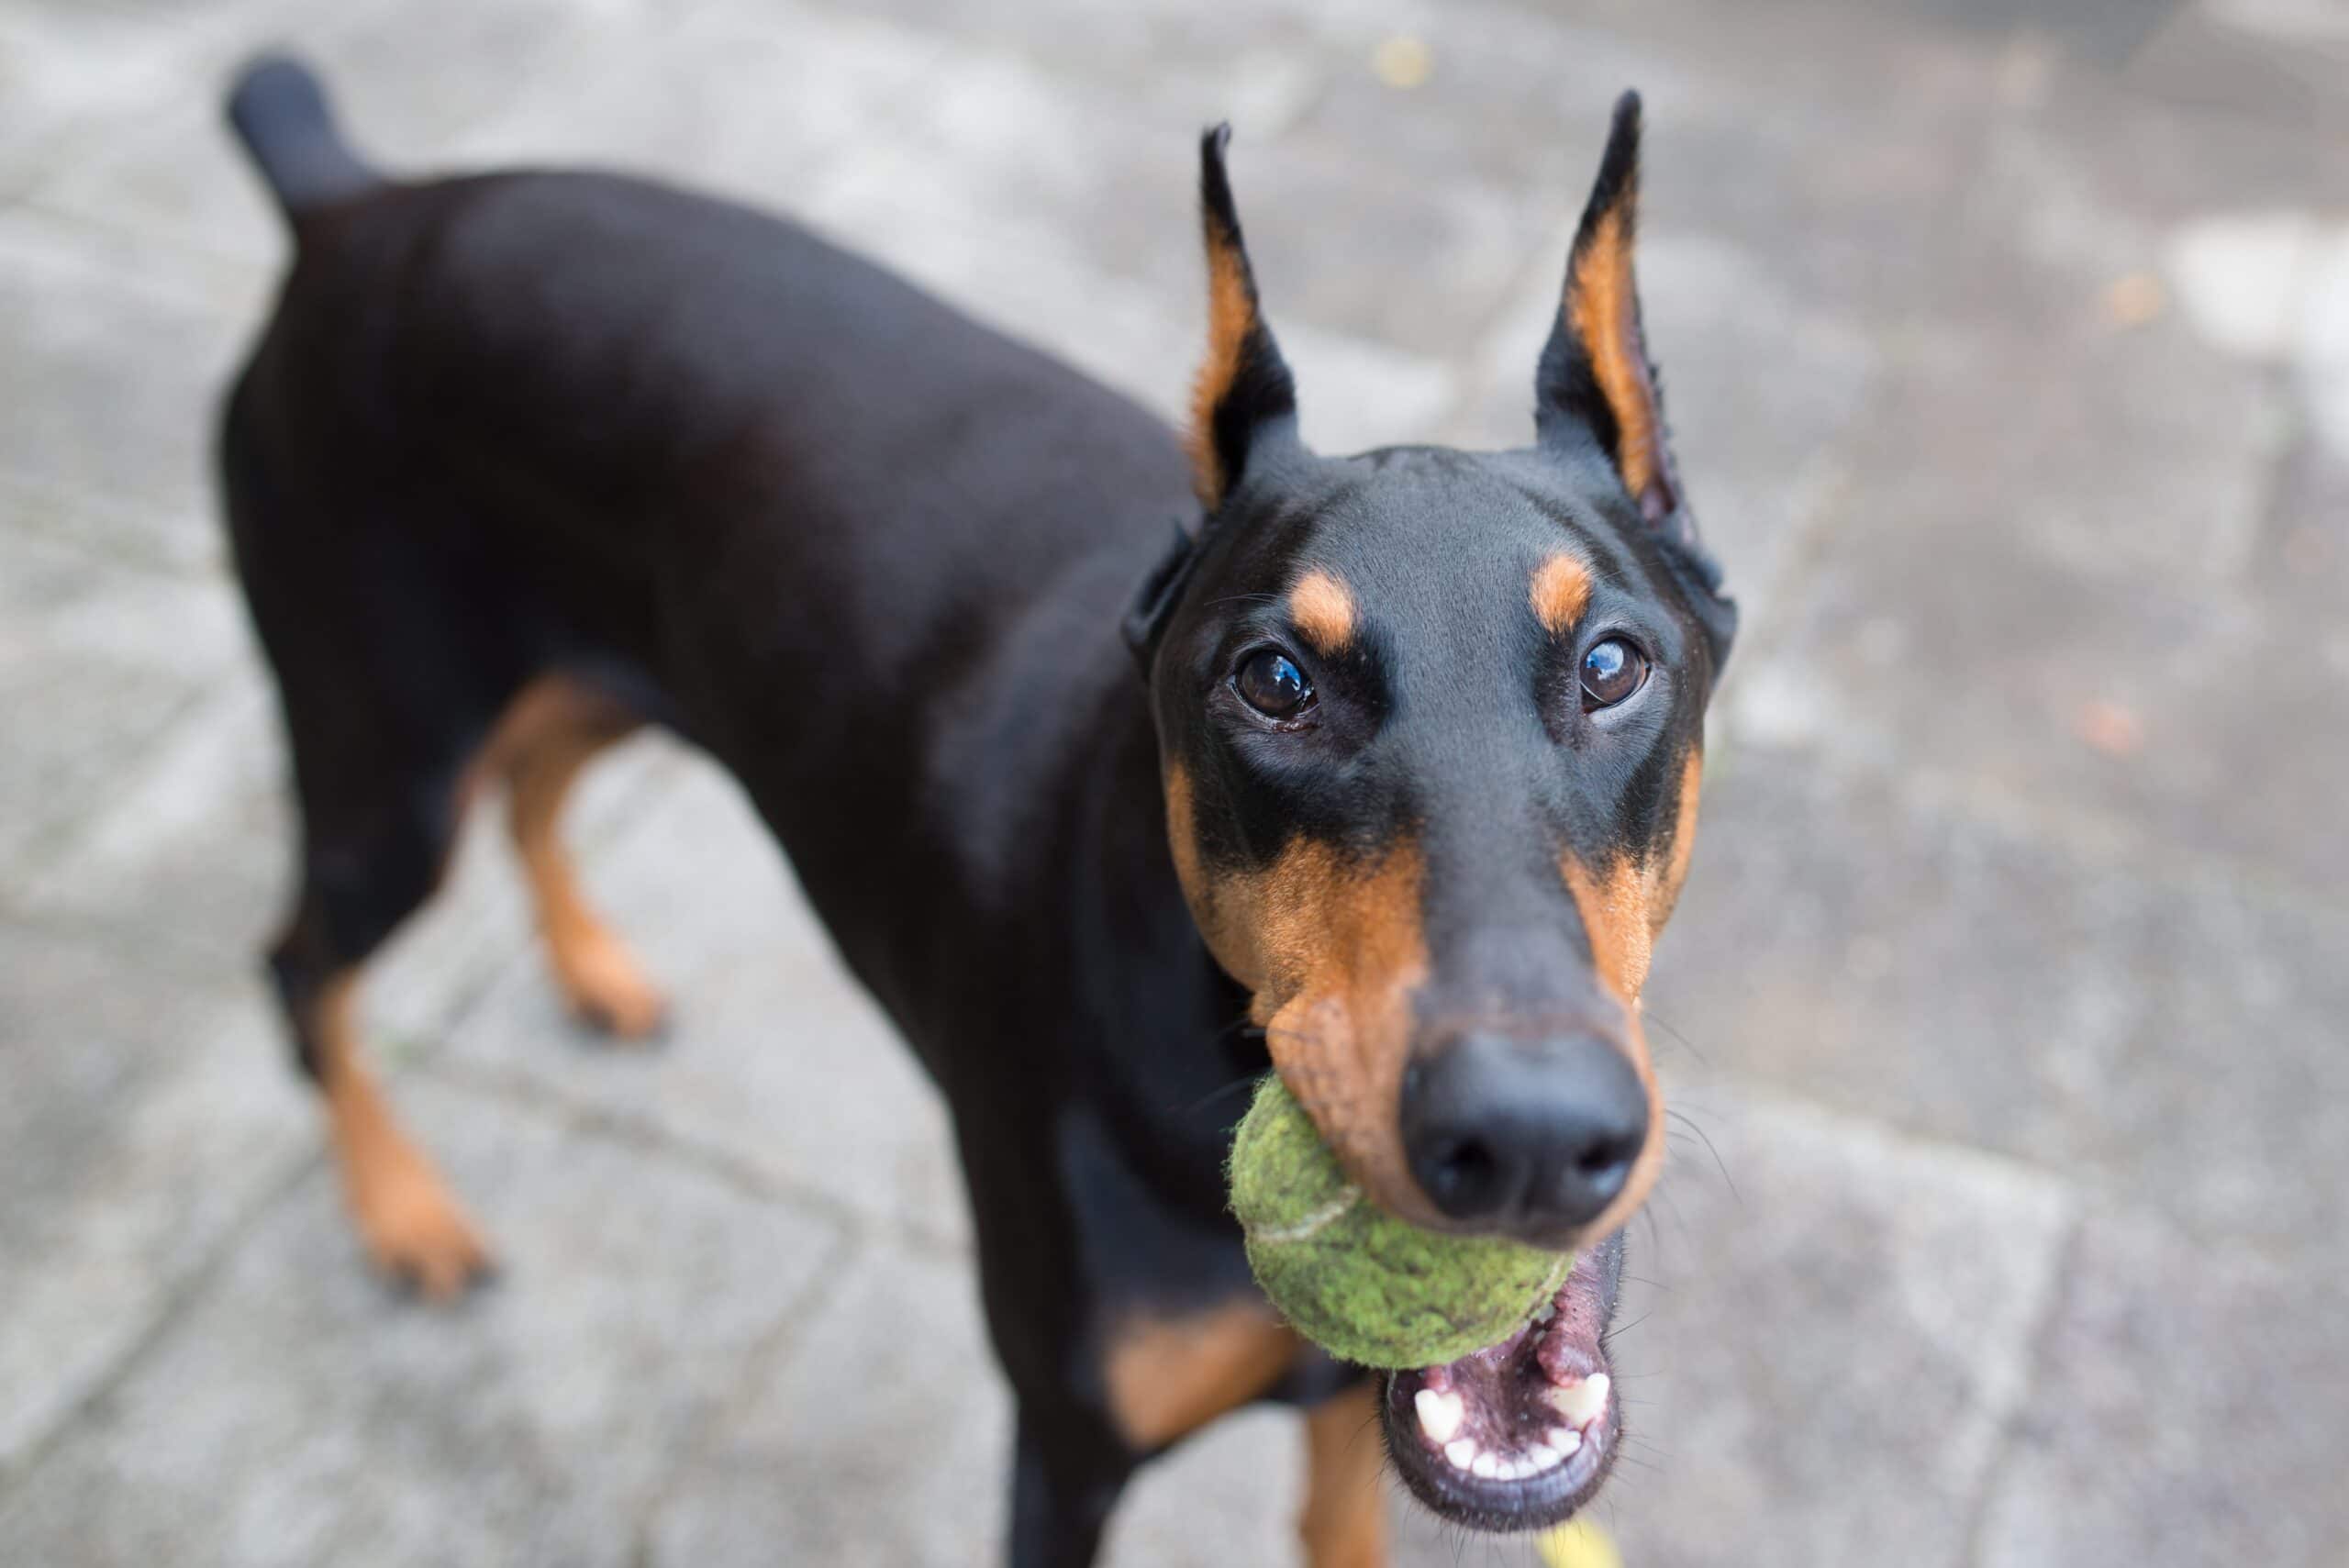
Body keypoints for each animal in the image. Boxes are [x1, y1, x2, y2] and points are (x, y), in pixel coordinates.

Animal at [216, 55, 1729, 1558]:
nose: (1528, 1134)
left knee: (533, 788)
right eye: (1275, 680)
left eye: (1613, 665)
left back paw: (592, 971)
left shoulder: (1345, 1437)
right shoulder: (1065, 1446)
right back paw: (403, 1212)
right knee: (296, 967)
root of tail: (353, 205)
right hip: (389, 774)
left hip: (588, 682)